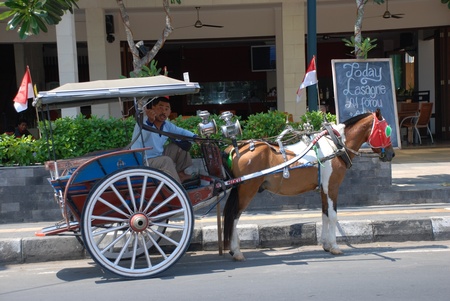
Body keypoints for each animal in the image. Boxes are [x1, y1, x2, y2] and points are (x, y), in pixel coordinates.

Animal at [223, 109, 396, 258]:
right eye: (387, 130)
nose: (391, 154)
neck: (335, 145)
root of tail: (234, 148)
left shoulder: (323, 189)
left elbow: (325, 214)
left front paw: (326, 245)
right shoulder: (332, 187)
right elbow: (333, 216)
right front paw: (335, 246)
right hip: (247, 189)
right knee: (234, 215)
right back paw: (236, 251)